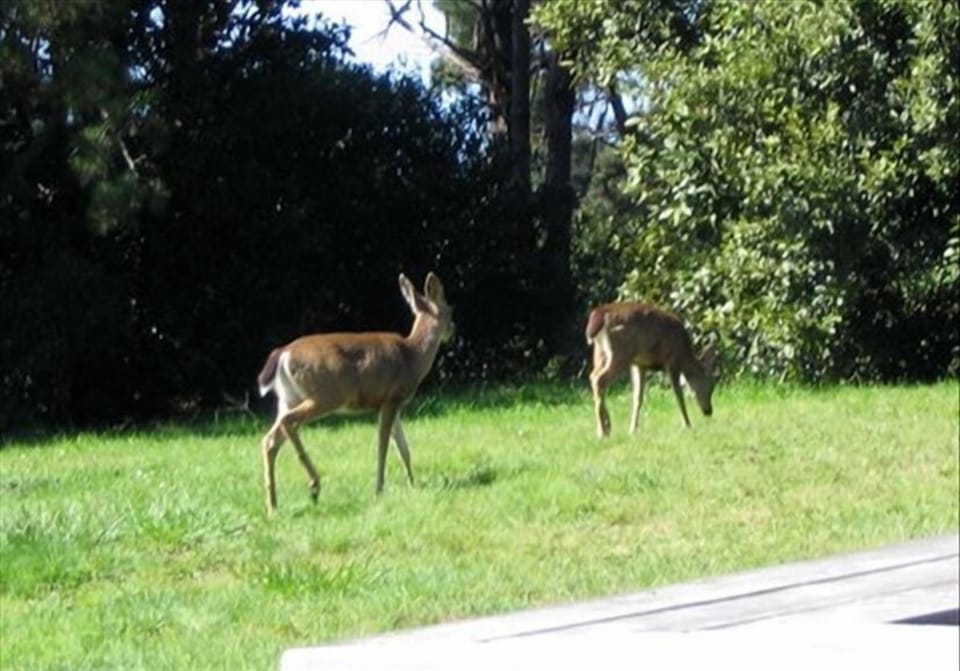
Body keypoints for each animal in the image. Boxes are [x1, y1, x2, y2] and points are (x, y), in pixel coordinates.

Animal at [256, 272, 454, 513]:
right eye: (450, 310)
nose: (452, 331)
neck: (413, 356)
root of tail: (283, 354)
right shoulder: (391, 398)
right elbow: (383, 445)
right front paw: (379, 489)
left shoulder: (393, 403)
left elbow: (403, 447)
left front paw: (412, 484)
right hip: (326, 394)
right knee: (288, 422)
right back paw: (314, 485)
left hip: (288, 397)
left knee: (270, 440)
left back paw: (273, 506)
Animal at [586, 302, 717, 438]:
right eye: (711, 386)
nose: (709, 411)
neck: (684, 354)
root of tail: (599, 314)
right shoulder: (672, 361)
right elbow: (678, 395)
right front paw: (687, 425)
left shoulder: (639, 364)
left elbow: (638, 397)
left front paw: (632, 430)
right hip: (622, 352)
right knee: (599, 379)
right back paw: (603, 430)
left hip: (600, 352)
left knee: (593, 376)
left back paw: (605, 427)